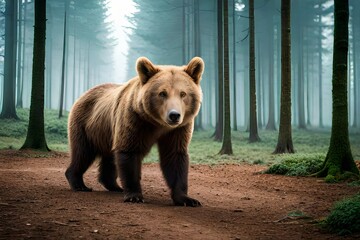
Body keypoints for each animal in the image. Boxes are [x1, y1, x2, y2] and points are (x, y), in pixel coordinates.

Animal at [65, 56, 204, 206]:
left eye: (183, 93)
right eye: (162, 93)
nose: (174, 115)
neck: (157, 124)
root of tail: (84, 94)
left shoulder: (178, 130)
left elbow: (175, 156)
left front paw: (187, 199)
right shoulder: (134, 120)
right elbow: (129, 152)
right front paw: (134, 195)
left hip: (107, 133)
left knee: (109, 158)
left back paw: (114, 186)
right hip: (86, 125)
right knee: (83, 153)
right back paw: (79, 183)